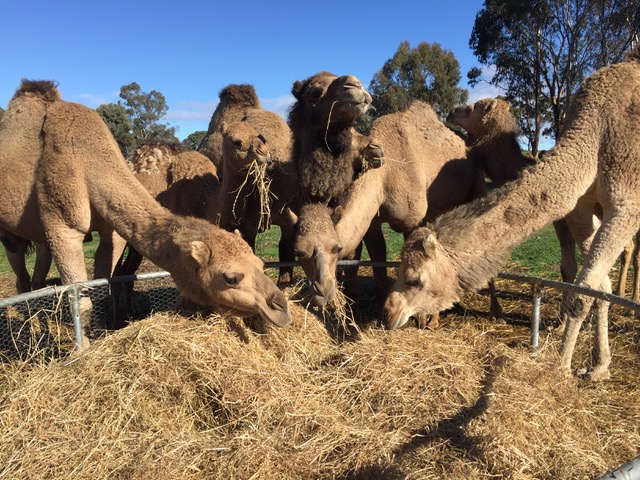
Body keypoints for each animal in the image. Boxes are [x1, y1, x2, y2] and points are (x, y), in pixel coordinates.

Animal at [0, 80, 291, 340]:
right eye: (231, 277)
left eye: (260, 264)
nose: (281, 306)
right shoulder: (64, 229)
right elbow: (83, 298)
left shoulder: (112, 230)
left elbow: (101, 287)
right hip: (12, 235)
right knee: (22, 281)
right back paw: (32, 333)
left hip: (44, 238)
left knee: (42, 280)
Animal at [383, 47, 640, 381]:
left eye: (415, 279)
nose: (388, 311)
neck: (594, 134)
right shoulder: (579, 210)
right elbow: (596, 286)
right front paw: (598, 365)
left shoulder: (625, 205)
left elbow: (578, 287)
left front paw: (560, 366)